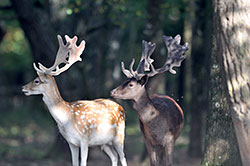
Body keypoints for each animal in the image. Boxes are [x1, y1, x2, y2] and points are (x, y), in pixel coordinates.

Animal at [22, 35, 127, 166]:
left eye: (36, 80)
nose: (23, 88)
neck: (67, 118)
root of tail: (121, 108)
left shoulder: (84, 139)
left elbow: (83, 163)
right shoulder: (71, 143)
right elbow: (74, 163)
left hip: (119, 136)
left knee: (123, 158)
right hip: (104, 142)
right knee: (114, 157)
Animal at [110, 34, 188, 165]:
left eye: (131, 84)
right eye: (125, 80)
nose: (112, 92)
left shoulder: (170, 139)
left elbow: (169, 163)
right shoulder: (148, 140)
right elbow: (154, 163)